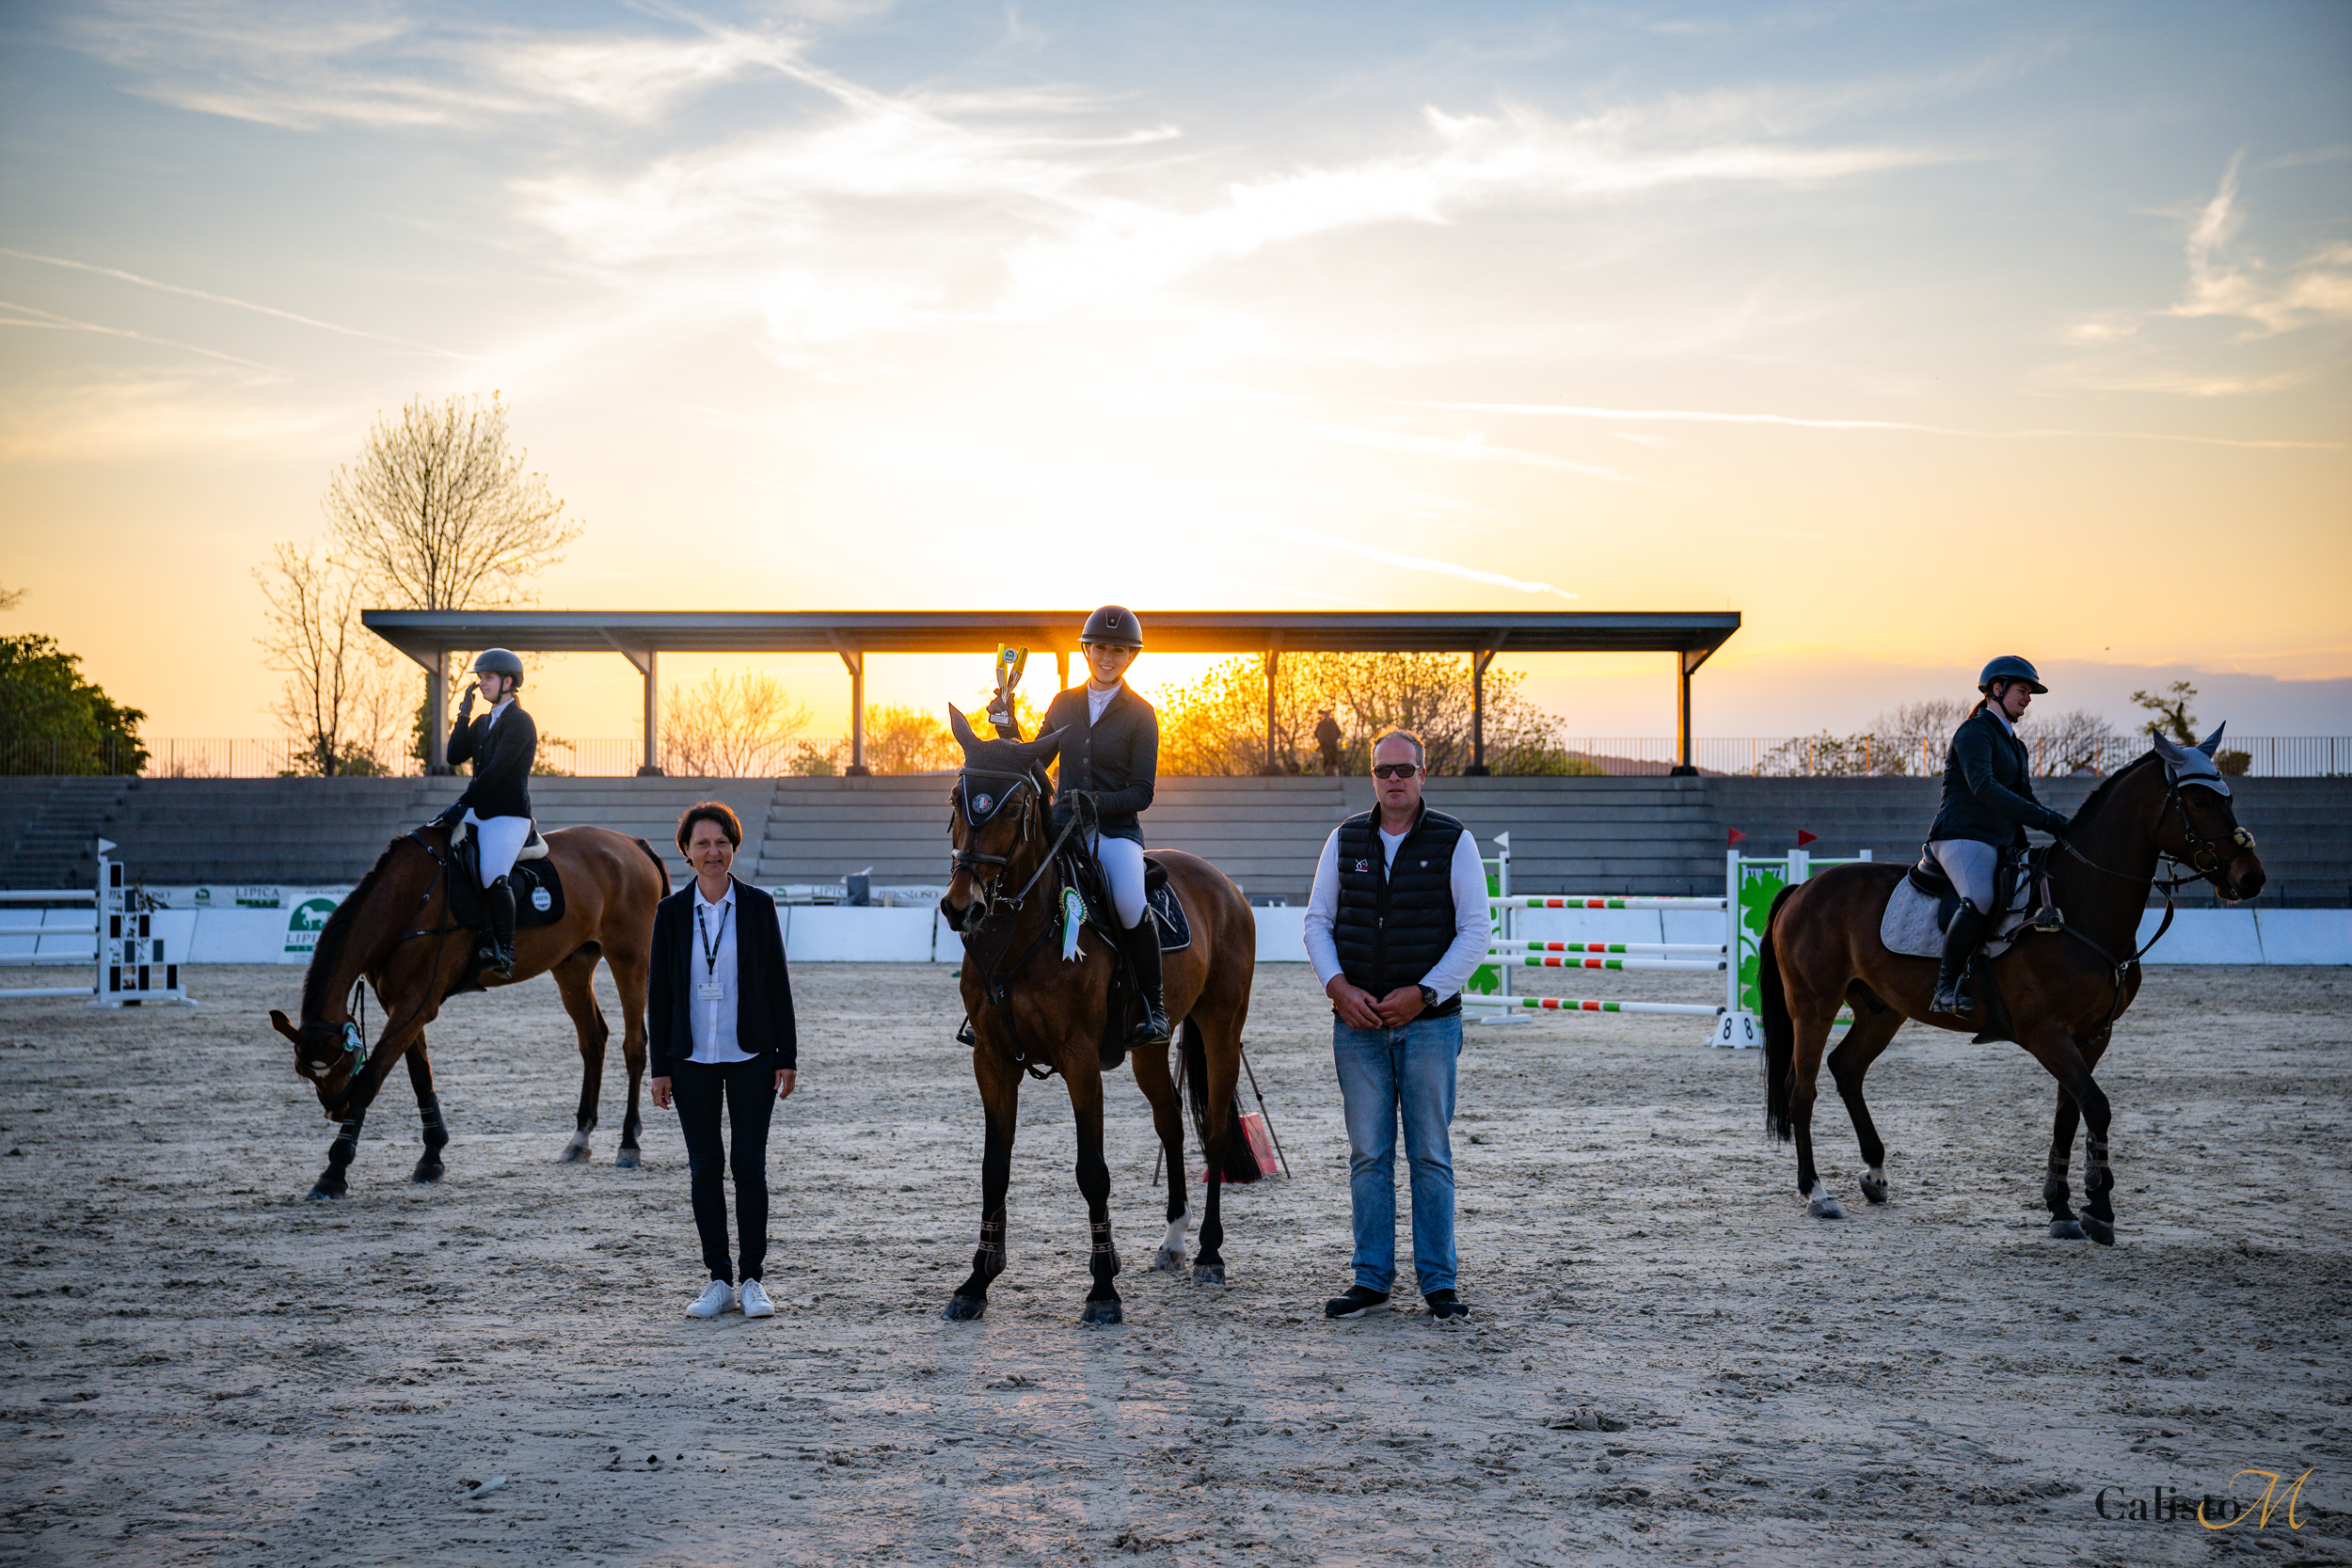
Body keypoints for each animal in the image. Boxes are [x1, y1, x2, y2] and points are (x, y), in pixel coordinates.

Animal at [267, 823, 669, 1200]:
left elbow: (372, 1079)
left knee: (634, 1045)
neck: (408, 900)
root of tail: (631, 843)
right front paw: (431, 1157)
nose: (335, 1110)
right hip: (573, 965)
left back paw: (629, 1143)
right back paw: (579, 1138)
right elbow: (420, 1075)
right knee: (593, 1040)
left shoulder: (415, 1003)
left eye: (344, 1062)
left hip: (630, 958)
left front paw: (334, 1172)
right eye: (304, 1071)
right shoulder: (400, 1002)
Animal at [937, 706, 1263, 1325]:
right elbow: (995, 1168)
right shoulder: (992, 1060)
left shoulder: (1080, 1061)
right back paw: (1174, 1241)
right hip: (1150, 1046)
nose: (962, 907)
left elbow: (1093, 1171)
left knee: (1212, 1131)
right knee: (1171, 1123)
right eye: (956, 799)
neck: (1020, 931)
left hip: (1221, 1029)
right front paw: (976, 1282)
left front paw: (1103, 1289)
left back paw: (1208, 1253)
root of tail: (1226, 886)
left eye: (1012, 808)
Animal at [1759, 728, 2265, 1245]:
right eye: (2199, 799)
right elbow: (2096, 1106)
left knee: (1847, 1068)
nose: (2250, 877)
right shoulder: (2046, 1033)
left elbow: (2070, 1113)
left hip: (1883, 1010)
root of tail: (1804, 888)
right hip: (1813, 1006)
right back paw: (1816, 1192)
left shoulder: (2092, 1035)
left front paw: (2063, 1207)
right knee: (1802, 1088)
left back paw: (1876, 1175)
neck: (2078, 904)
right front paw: (2098, 1209)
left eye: (2228, 797)